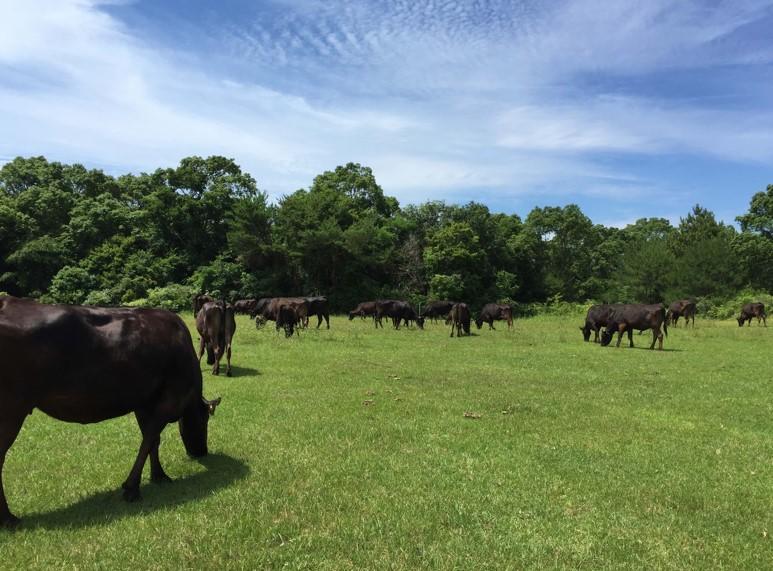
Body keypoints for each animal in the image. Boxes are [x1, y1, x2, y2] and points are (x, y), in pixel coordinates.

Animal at [0, 298, 220, 528]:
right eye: (204, 421)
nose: (202, 452)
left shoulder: (144, 402)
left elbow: (153, 441)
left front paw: (158, 475)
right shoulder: (169, 399)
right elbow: (149, 439)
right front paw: (132, 488)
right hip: (12, 408)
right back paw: (8, 518)